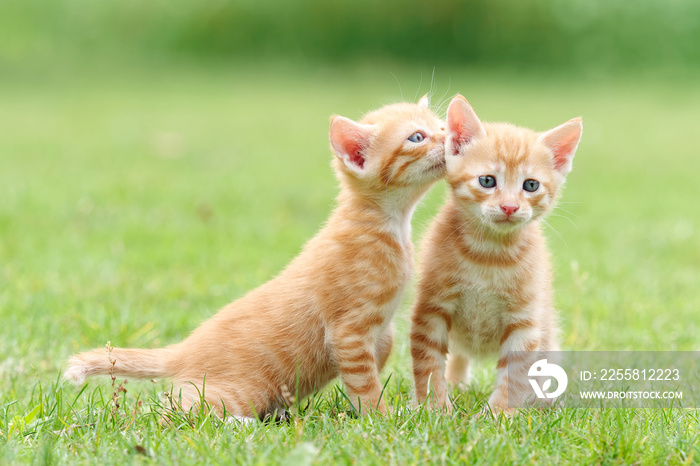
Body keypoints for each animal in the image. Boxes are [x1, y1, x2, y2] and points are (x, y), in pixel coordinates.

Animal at [67, 97, 448, 418]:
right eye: (417, 137)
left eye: (440, 125)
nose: (450, 136)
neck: (390, 224)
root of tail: (184, 350)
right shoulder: (348, 332)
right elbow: (364, 382)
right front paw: (381, 418)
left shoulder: (376, 333)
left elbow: (381, 353)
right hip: (238, 392)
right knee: (174, 412)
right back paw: (243, 423)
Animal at [410, 93, 580, 414]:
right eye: (487, 181)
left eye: (530, 185)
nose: (509, 207)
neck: (488, 255)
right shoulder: (431, 309)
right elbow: (428, 363)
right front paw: (436, 408)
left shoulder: (525, 320)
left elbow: (516, 372)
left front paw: (499, 414)